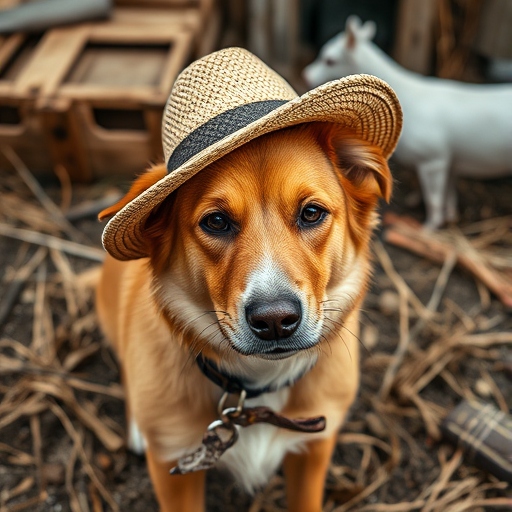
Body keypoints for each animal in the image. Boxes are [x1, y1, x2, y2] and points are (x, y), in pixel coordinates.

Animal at [96, 119, 392, 508]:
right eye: (217, 221)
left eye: (311, 213)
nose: (275, 320)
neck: (256, 387)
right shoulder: (173, 468)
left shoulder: (314, 447)